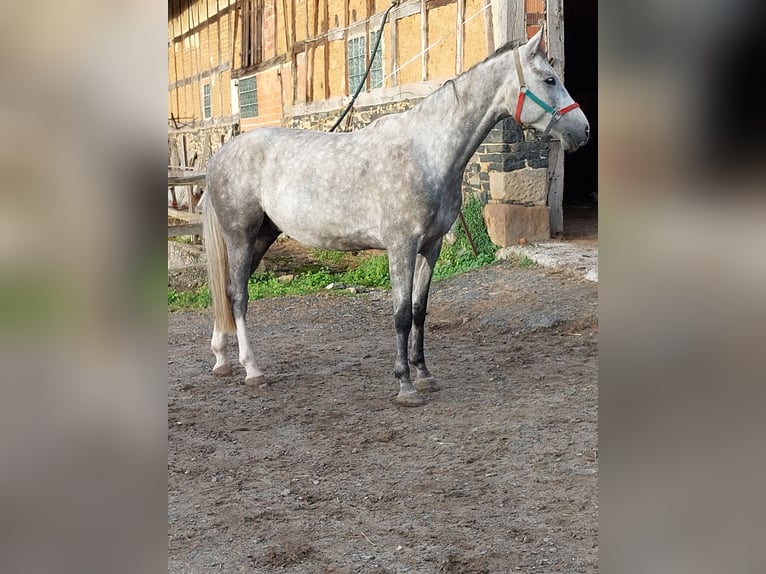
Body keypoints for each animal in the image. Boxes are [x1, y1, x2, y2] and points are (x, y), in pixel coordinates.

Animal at [201, 27, 592, 404]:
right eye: (549, 80)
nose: (583, 130)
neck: (426, 152)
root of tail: (220, 154)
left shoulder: (431, 246)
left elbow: (419, 310)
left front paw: (424, 374)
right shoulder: (401, 246)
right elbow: (401, 315)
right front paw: (405, 385)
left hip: (263, 236)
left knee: (228, 291)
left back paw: (221, 359)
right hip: (241, 236)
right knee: (239, 296)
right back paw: (252, 369)